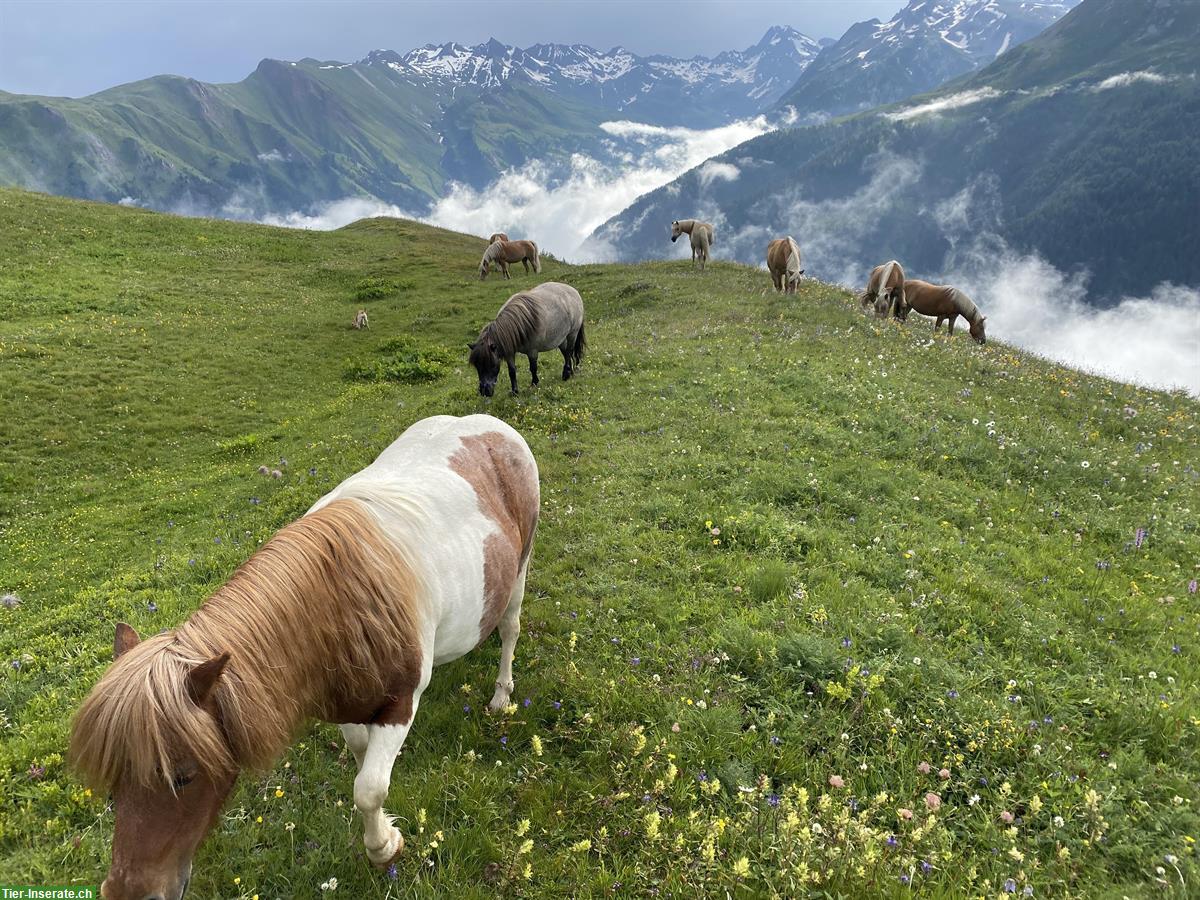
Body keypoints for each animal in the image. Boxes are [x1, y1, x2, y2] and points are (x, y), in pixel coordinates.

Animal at [70, 417, 540, 900]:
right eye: (113, 782)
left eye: (182, 776)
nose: (127, 892)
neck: (336, 604)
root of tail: (492, 426)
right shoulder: (346, 704)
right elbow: (362, 759)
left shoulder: (400, 701)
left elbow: (369, 788)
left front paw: (384, 846)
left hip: (520, 566)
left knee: (510, 628)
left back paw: (502, 695)